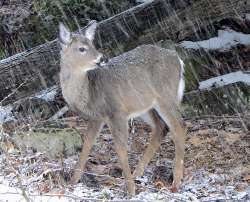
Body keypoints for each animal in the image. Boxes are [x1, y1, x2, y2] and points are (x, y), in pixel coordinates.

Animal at [59, 20, 186, 196]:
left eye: (92, 44)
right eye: (82, 48)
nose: (102, 58)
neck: (89, 92)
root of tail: (178, 59)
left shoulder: (116, 111)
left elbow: (120, 149)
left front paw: (131, 190)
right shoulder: (97, 117)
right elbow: (87, 144)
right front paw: (72, 181)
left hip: (165, 95)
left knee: (178, 127)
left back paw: (175, 182)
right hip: (145, 105)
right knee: (161, 127)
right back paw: (138, 173)